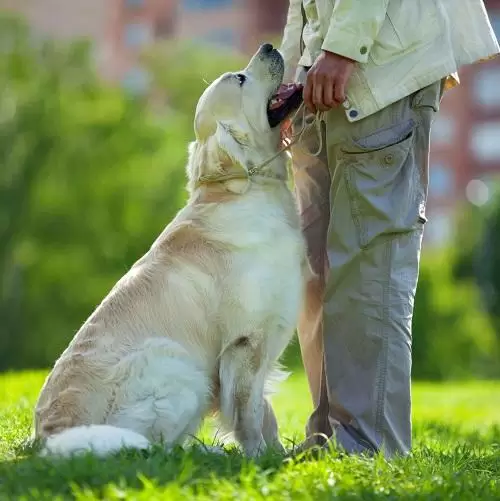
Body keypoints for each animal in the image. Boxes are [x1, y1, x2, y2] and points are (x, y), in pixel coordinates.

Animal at [34, 43, 304, 458]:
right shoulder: (245, 341)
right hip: (176, 364)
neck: (244, 191)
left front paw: (280, 453)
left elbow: (265, 412)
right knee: (154, 449)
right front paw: (260, 457)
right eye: (241, 79)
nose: (269, 46)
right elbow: (250, 411)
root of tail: (50, 436)